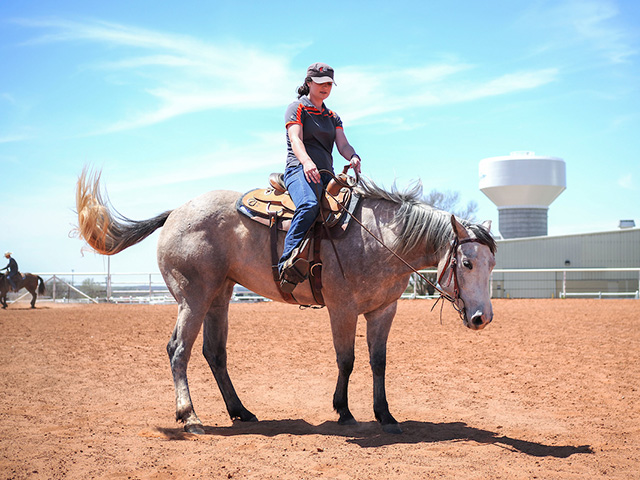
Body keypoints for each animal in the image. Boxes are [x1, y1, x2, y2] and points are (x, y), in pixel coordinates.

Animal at [75, 169, 496, 434]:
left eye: (492, 263)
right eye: (467, 262)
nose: (482, 318)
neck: (379, 236)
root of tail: (175, 212)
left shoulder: (383, 310)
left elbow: (378, 362)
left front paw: (386, 416)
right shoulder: (342, 309)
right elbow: (347, 360)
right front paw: (344, 412)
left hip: (219, 295)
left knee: (215, 353)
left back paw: (241, 411)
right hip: (192, 297)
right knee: (178, 349)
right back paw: (190, 416)